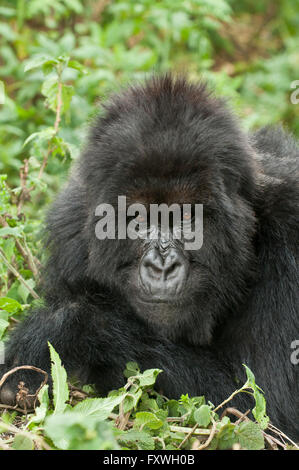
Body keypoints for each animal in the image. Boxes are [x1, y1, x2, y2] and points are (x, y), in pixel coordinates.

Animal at [0, 75, 299, 438]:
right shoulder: (68, 236)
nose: (162, 266)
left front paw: (66, 327)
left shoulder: (290, 226)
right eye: (139, 219)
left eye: (187, 217)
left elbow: (266, 409)